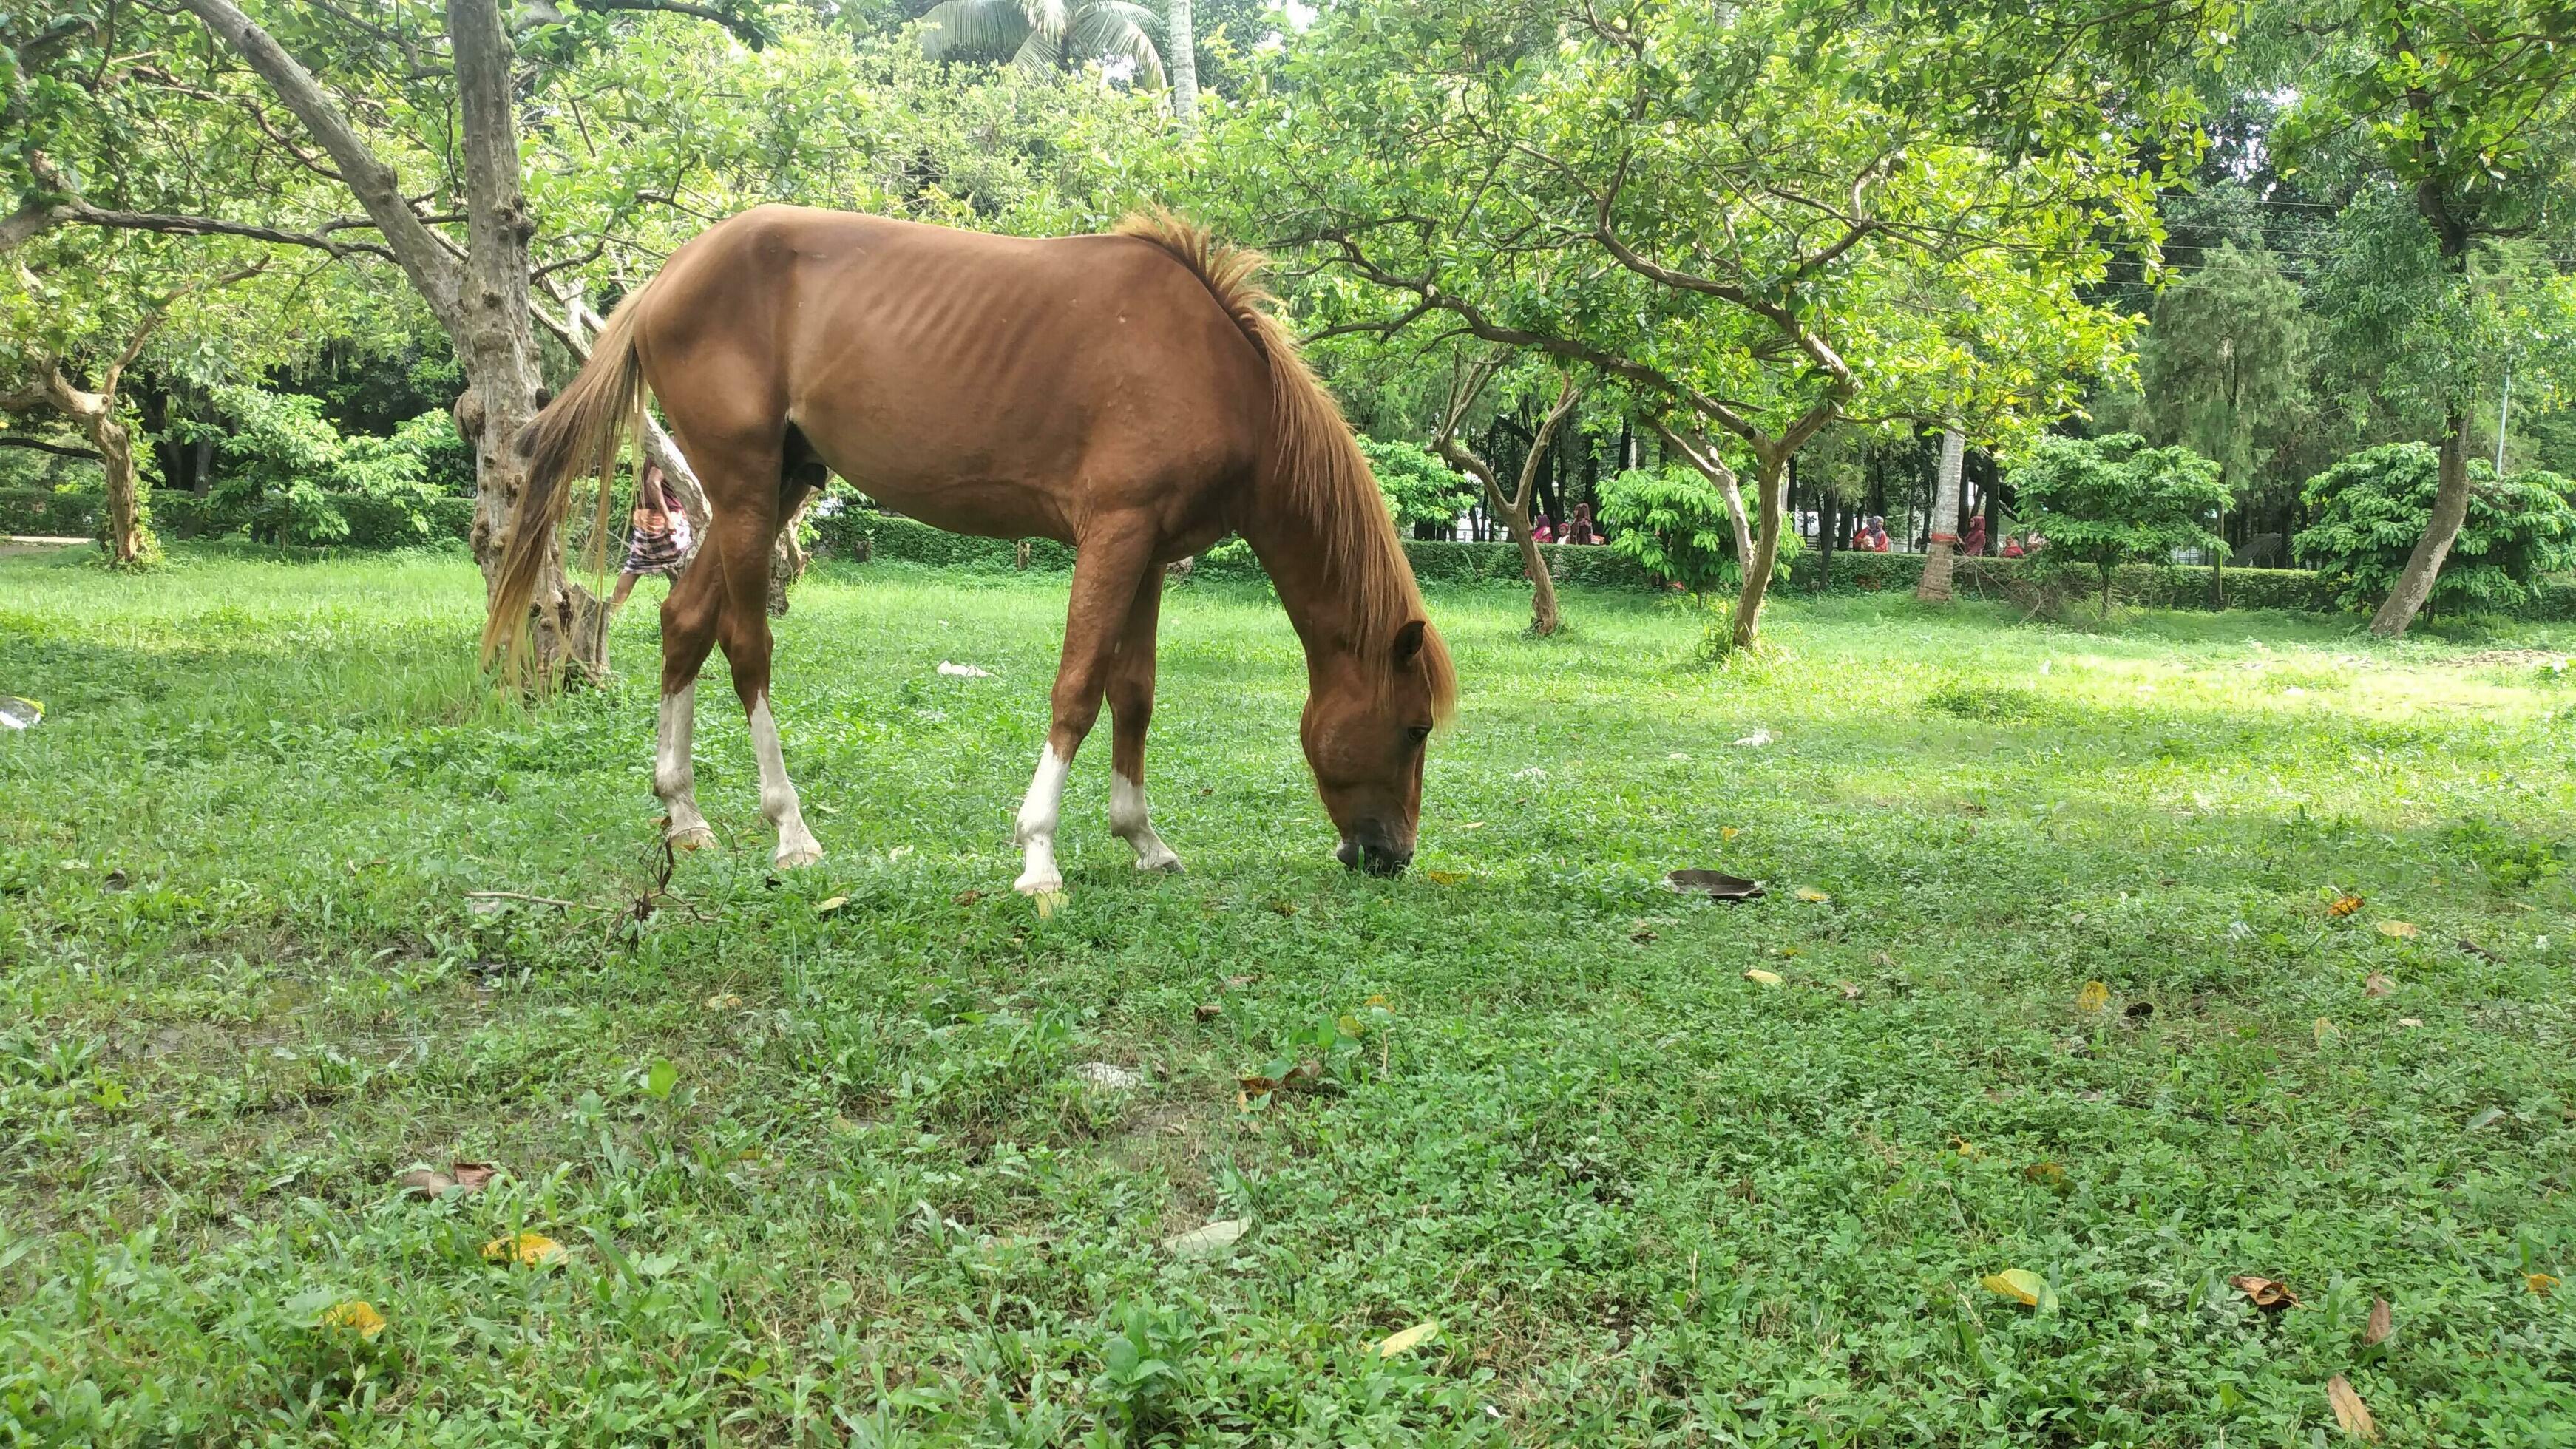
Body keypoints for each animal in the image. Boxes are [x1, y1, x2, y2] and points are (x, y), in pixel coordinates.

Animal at [484, 208, 1452, 890]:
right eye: (1414, 728)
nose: (1391, 856)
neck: (1223, 375)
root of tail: (669, 277)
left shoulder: (1146, 549)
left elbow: (1133, 695)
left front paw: (1143, 839)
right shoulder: (1115, 534)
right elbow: (1077, 688)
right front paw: (1039, 855)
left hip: (774, 484)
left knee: (684, 623)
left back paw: (684, 814)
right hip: (750, 490)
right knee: (745, 646)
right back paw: (790, 829)